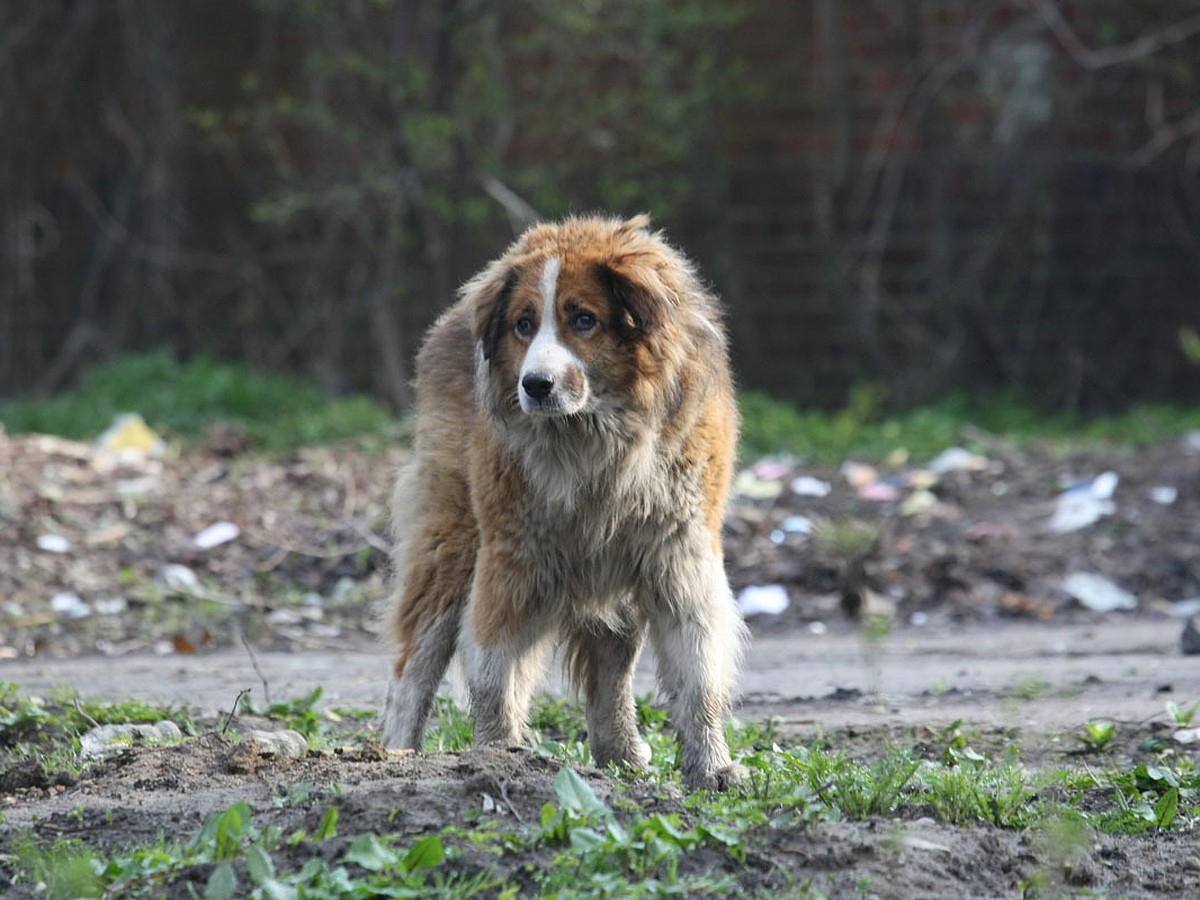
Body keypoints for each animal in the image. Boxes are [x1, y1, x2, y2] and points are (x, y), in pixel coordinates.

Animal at [379, 214, 744, 792]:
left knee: (612, 669)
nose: (535, 384)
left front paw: (711, 766)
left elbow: (697, 666)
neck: (596, 437)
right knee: (415, 662)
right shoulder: (511, 555)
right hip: (452, 539)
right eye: (524, 325)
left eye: (584, 320)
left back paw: (621, 753)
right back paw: (396, 754)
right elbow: (493, 666)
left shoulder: (678, 551)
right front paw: (497, 753)